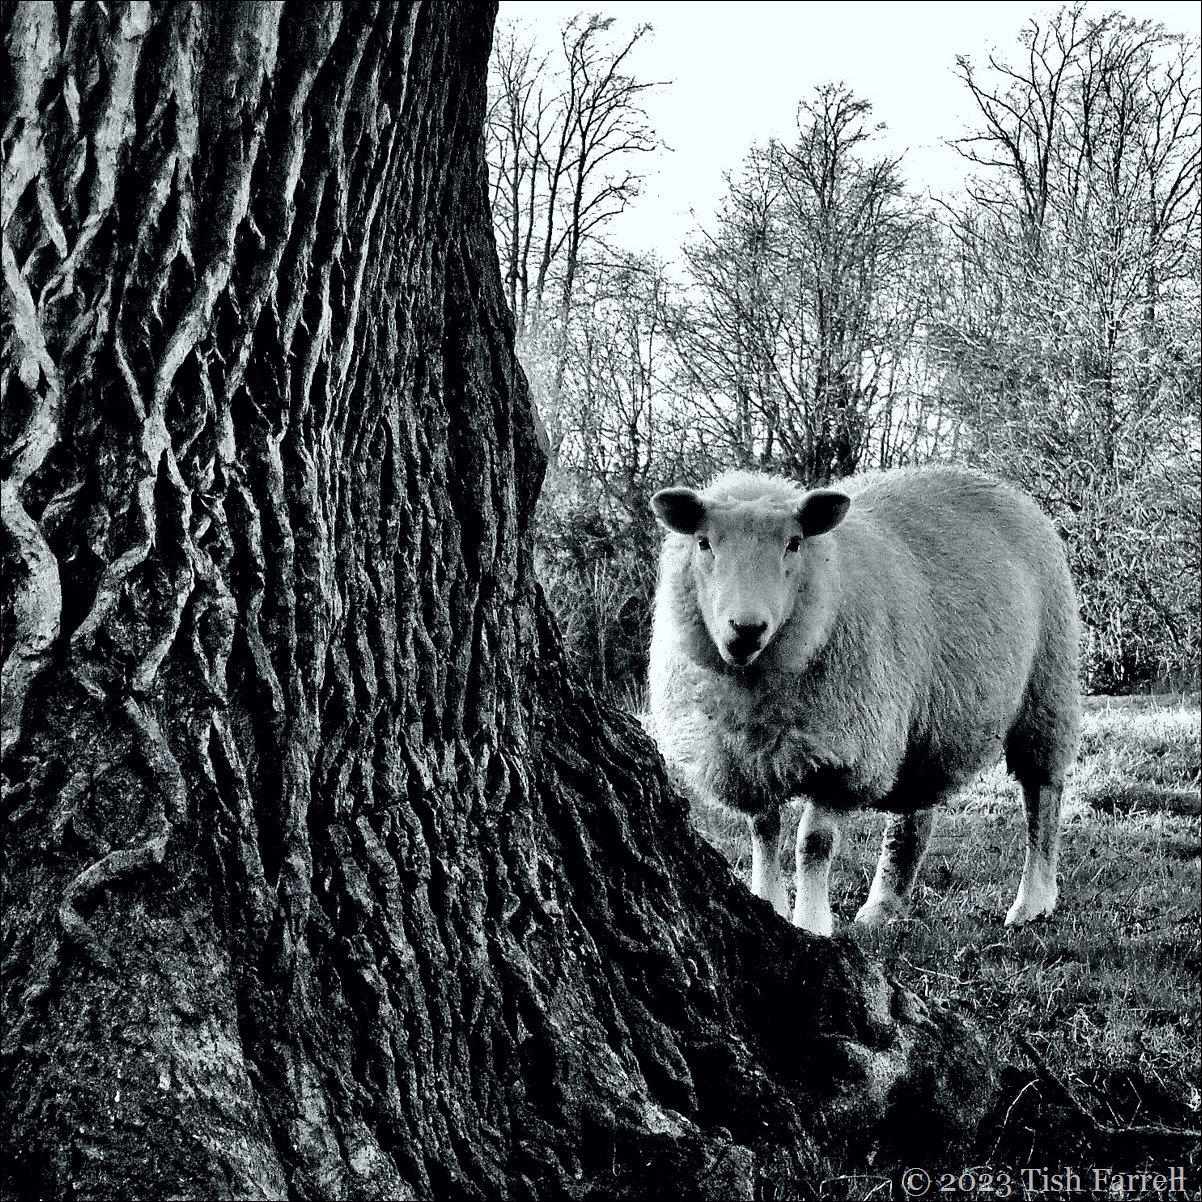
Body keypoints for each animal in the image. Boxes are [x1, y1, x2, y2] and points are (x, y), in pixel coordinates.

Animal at [647, 465, 1080, 935]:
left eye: (794, 543)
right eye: (704, 542)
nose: (747, 629)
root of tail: (988, 479)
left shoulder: (843, 756)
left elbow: (813, 843)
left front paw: (811, 923)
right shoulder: (745, 760)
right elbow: (763, 831)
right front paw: (769, 904)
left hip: (1048, 686)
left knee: (1042, 798)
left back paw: (1033, 901)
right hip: (923, 721)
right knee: (912, 814)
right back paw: (884, 906)